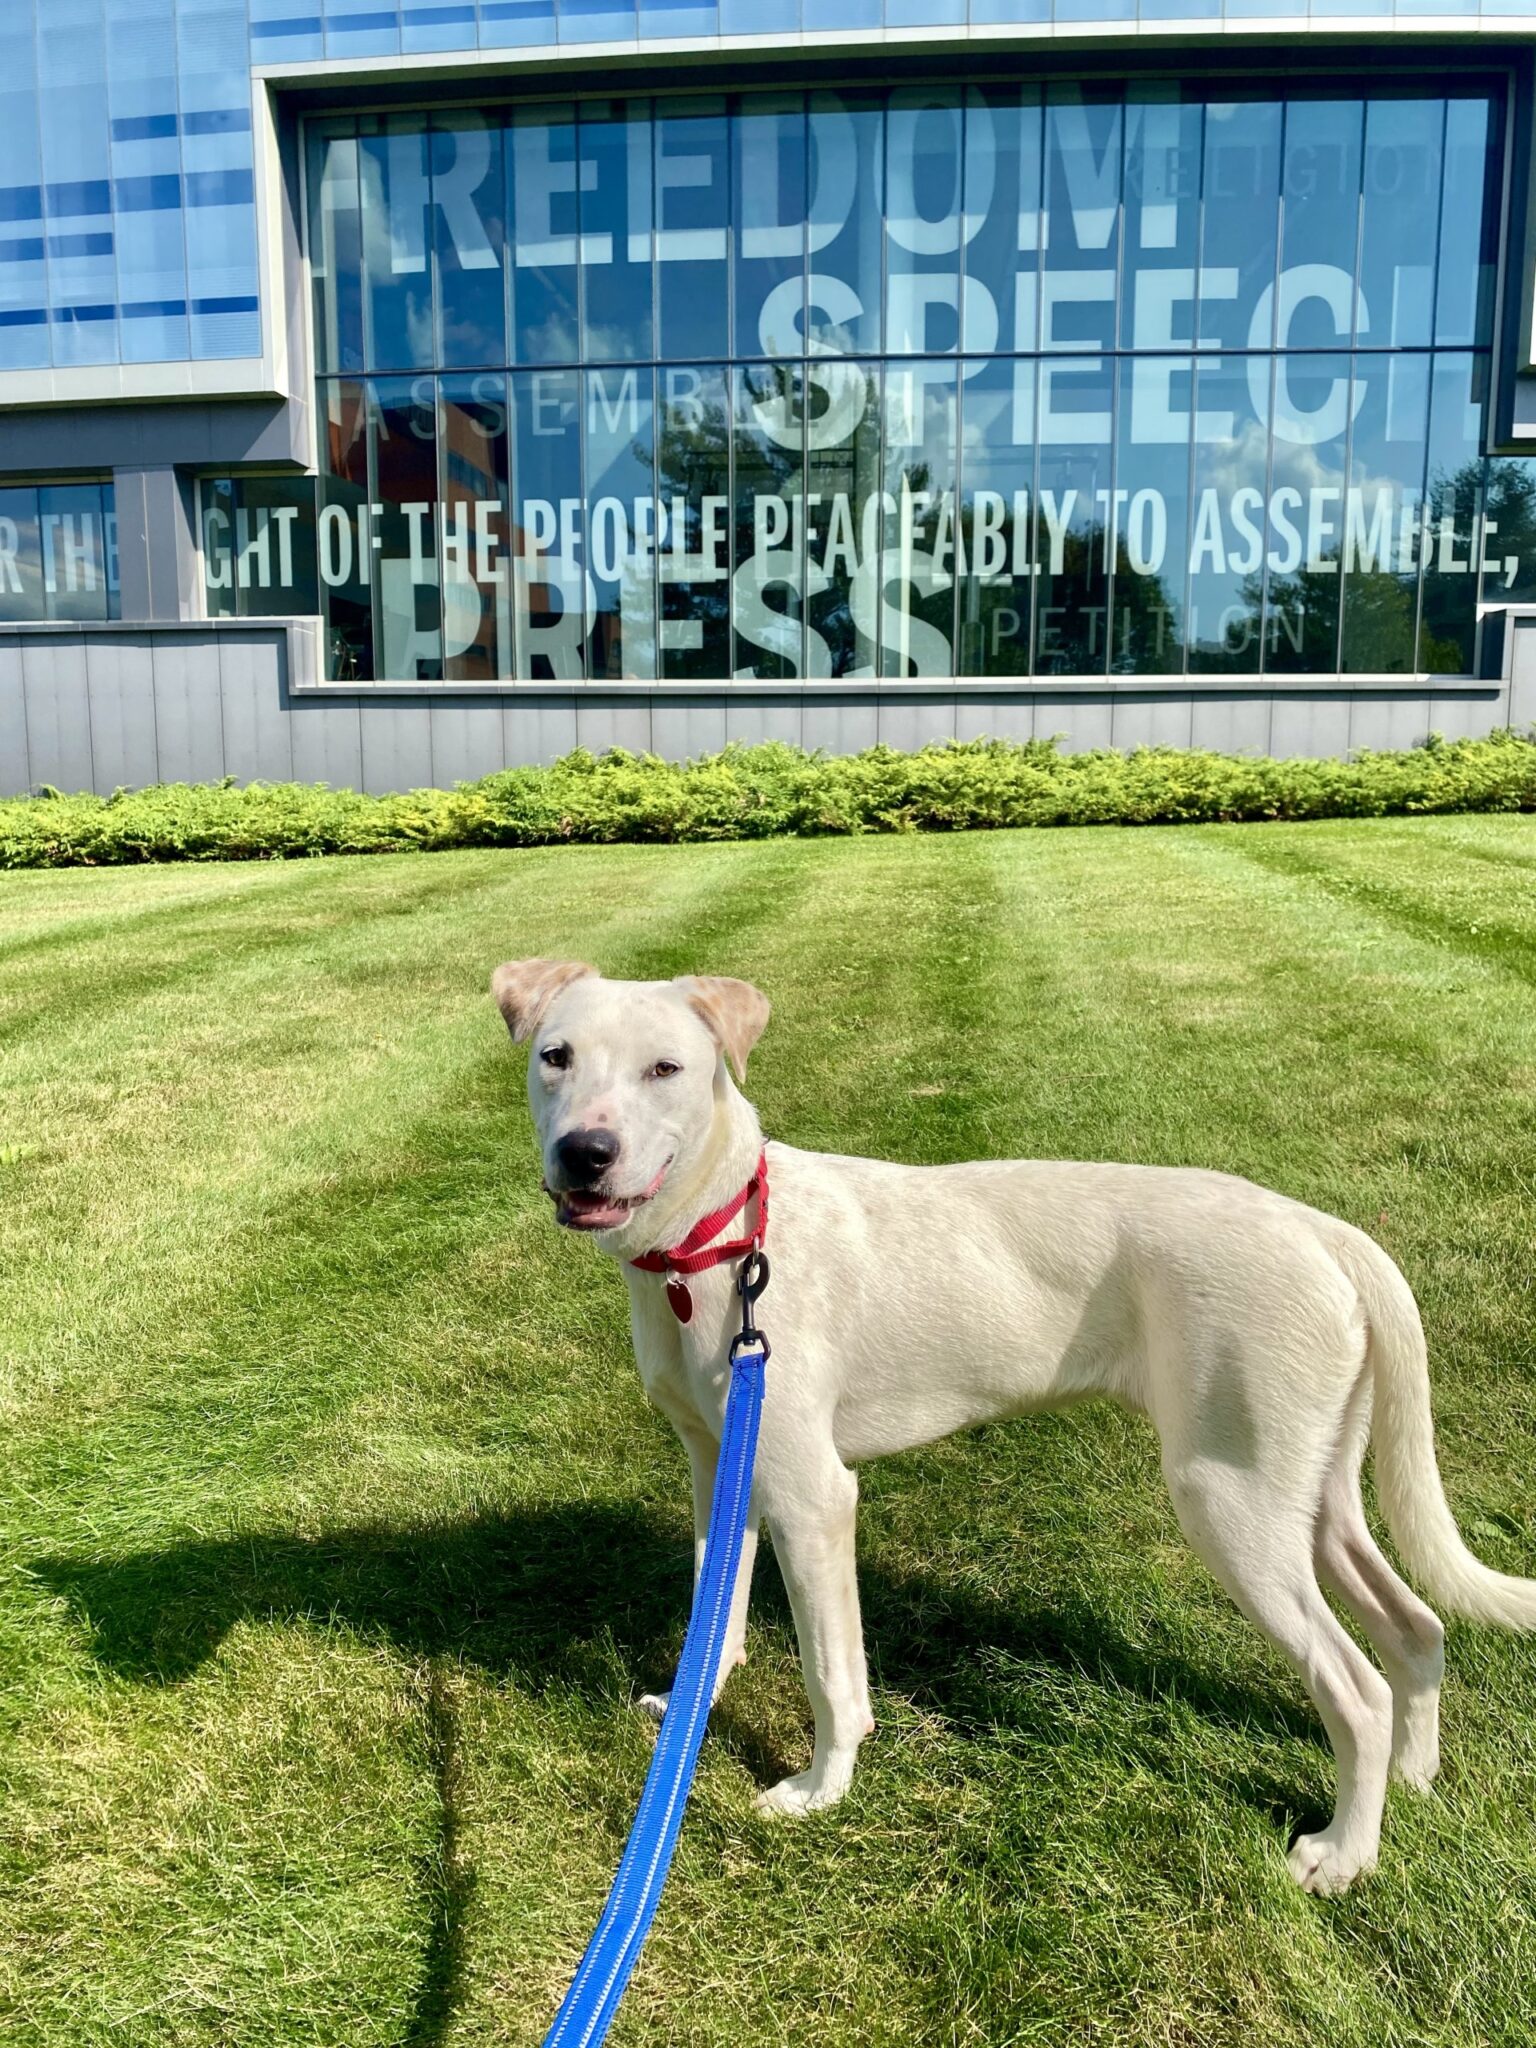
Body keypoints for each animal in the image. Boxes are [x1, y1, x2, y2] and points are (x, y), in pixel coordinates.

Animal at [495, 958, 1536, 1884]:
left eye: (666, 1069)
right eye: (555, 1057)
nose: (585, 1153)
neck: (724, 1237)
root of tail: (1326, 1230)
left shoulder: (812, 1495)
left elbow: (832, 1672)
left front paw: (821, 1789)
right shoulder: (719, 1468)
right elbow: (716, 1614)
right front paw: (688, 1712)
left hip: (1230, 1502)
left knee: (1356, 1690)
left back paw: (1343, 1857)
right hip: (1309, 1495)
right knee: (1416, 1628)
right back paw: (1414, 1781)